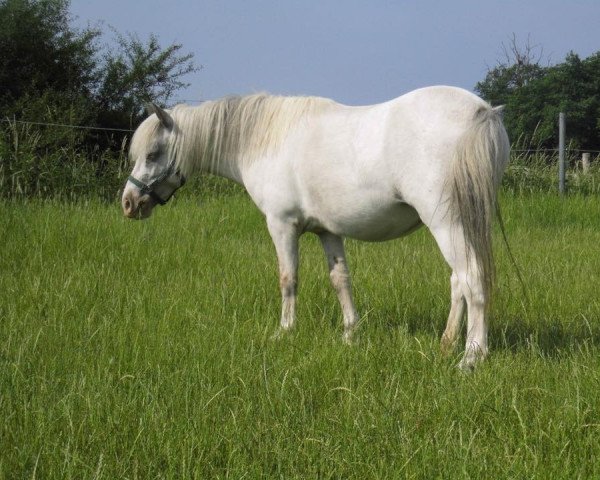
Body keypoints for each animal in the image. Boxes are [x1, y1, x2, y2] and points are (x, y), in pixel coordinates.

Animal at [124, 86, 508, 370]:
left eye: (154, 153)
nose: (129, 203)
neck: (266, 140)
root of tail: (482, 111)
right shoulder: (328, 231)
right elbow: (340, 280)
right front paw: (350, 336)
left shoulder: (281, 225)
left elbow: (288, 278)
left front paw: (284, 332)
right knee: (458, 281)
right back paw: (446, 343)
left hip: (446, 222)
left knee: (471, 279)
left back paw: (471, 357)